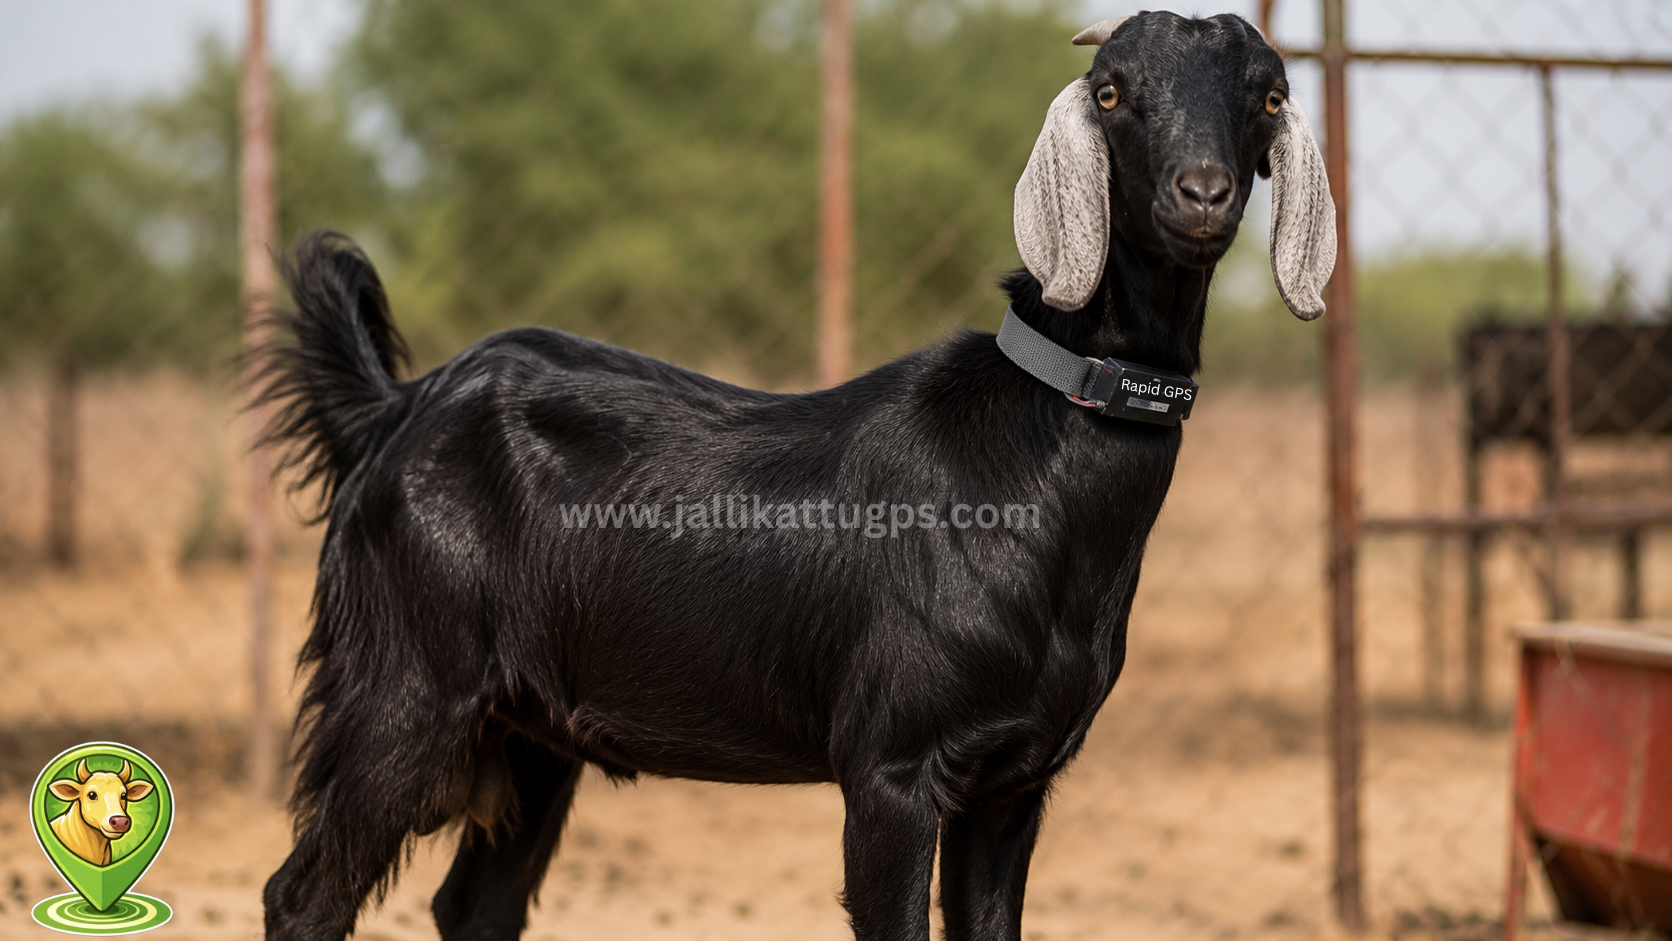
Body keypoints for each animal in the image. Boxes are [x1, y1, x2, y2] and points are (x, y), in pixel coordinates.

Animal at [260, 11, 1334, 941]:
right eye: (1111, 93)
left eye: (1268, 97)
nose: (1201, 195)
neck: (1039, 446)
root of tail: (397, 407)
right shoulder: (893, 768)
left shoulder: (1013, 783)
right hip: (405, 683)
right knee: (302, 895)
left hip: (530, 732)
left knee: (475, 905)